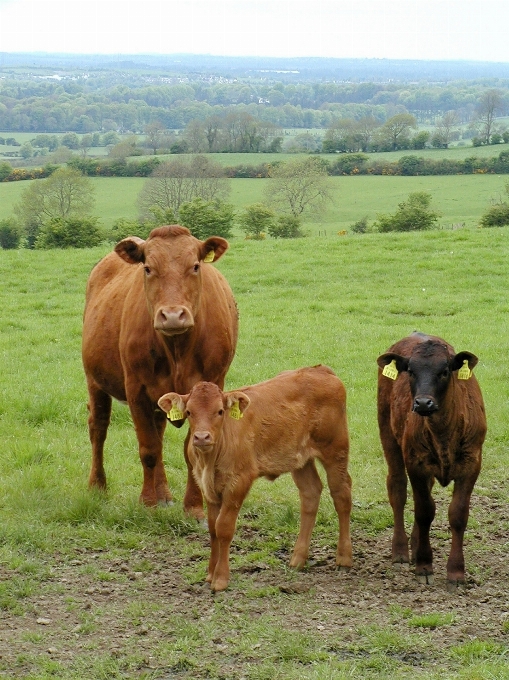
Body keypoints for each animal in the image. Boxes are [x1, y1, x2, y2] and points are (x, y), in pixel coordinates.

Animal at [82, 224, 239, 516]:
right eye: (148, 268)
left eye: (195, 266)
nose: (173, 315)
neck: (177, 349)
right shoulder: (137, 390)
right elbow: (148, 449)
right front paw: (147, 502)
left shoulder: (208, 387)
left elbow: (189, 449)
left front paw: (193, 508)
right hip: (95, 381)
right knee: (98, 428)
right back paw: (97, 485)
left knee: (159, 432)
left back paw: (165, 493)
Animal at [157, 364, 352, 592]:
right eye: (189, 412)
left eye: (220, 411)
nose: (202, 437)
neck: (209, 461)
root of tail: (320, 370)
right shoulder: (208, 488)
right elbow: (213, 529)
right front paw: (210, 574)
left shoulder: (238, 482)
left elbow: (224, 528)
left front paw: (220, 579)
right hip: (300, 459)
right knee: (311, 493)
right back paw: (297, 559)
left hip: (336, 450)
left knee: (342, 495)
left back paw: (344, 558)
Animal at [378, 332, 484, 588]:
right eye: (411, 371)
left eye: (444, 371)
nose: (423, 403)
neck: (444, 432)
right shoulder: (415, 464)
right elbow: (424, 511)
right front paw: (424, 566)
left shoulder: (472, 464)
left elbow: (458, 515)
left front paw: (456, 572)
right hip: (388, 435)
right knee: (397, 489)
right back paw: (401, 551)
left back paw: (416, 544)